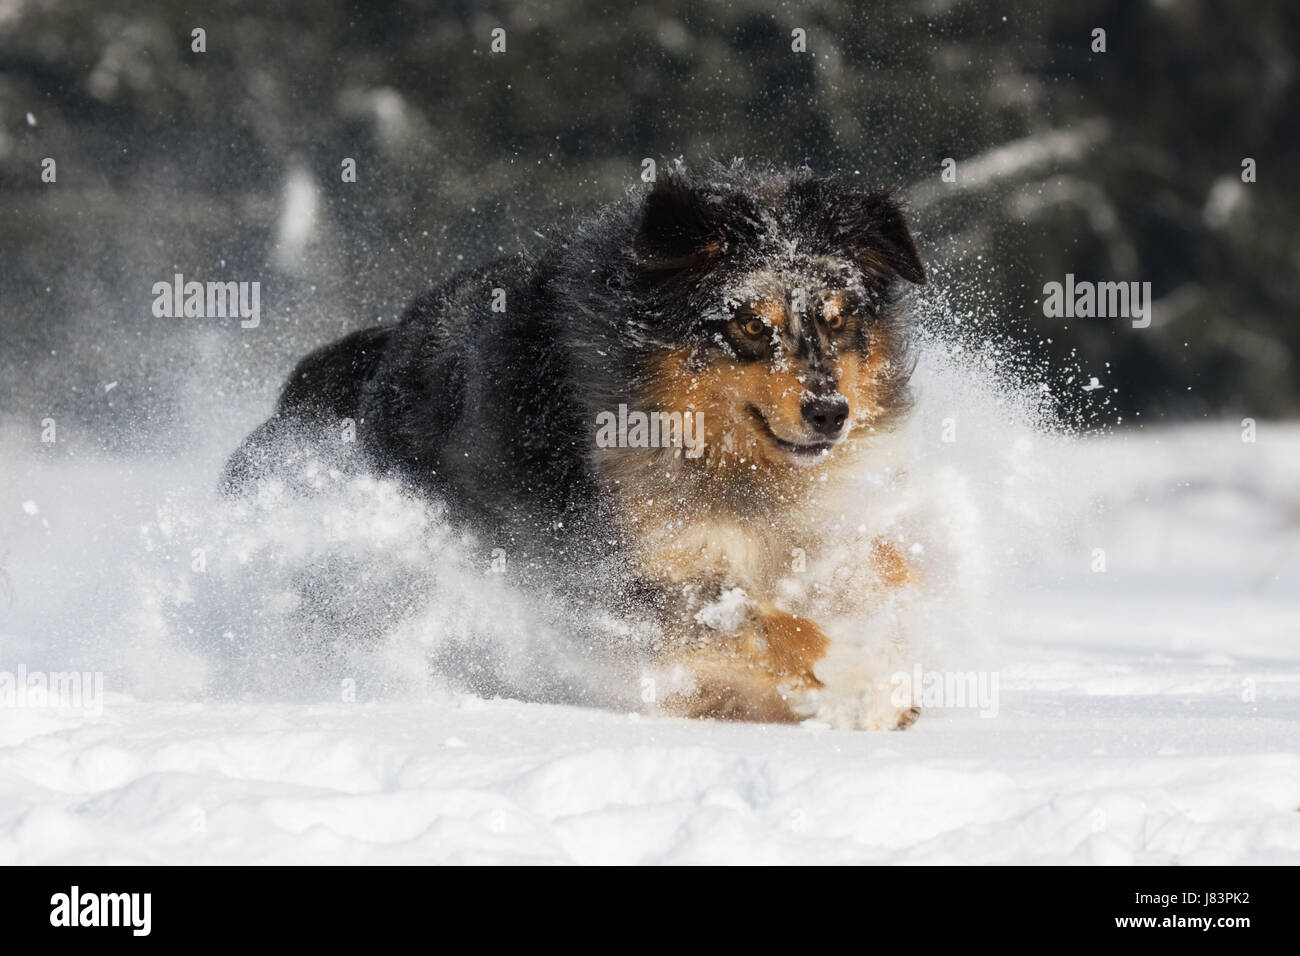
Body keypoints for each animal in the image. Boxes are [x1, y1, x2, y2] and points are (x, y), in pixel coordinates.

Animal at [228, 164, 930, 728]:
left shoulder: (817, 526)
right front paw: (861, 676)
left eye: (839, 319)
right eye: (753, 325)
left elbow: (888, 564)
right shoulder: (607, 574)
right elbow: (759, 620)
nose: (830, 413)